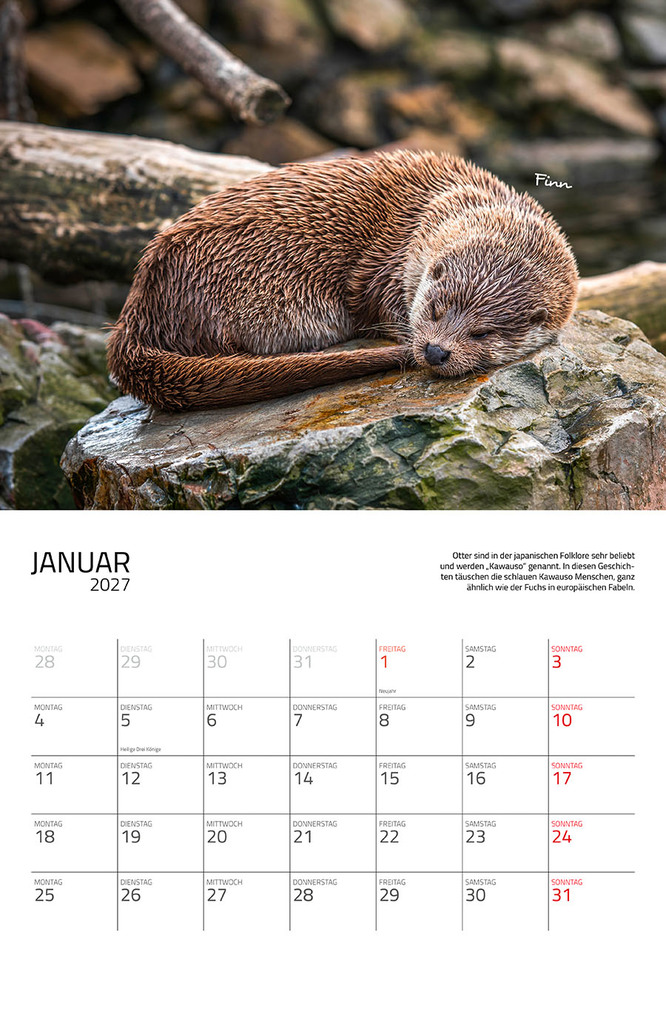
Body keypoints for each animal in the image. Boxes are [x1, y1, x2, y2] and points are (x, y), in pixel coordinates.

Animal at [107, 151, 578, 412]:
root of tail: (140, 305)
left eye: (482, 333)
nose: (435, 351)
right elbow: (375, 301)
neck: (439, 204)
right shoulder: (386, 262)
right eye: (433, 309)